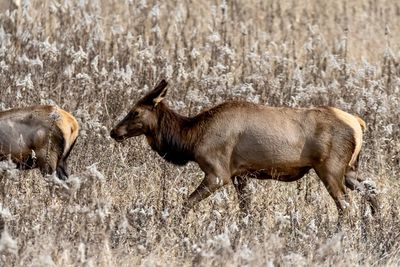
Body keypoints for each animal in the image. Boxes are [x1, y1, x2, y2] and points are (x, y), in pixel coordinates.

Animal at [110, 80, 378, 219]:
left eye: (135, 112)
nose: (114, 132)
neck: (191, 138)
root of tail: (358, 123)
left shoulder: (218, 172)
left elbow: (186, 203)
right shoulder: (242, 174)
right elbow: (245, 210)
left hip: (330, 167)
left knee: (346, 207)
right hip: (349, 168)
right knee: (372, 190)